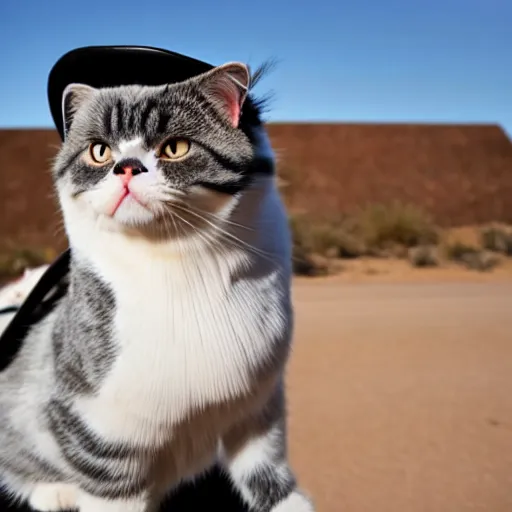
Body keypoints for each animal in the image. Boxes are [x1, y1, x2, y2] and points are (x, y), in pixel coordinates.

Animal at [0, 61, 314, 512]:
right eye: (100, 151)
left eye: (175, 147)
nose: (126, 167)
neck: (178, 270)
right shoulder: (99, 435)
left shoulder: (259, 408)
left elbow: (267, 474)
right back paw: (54, 491)